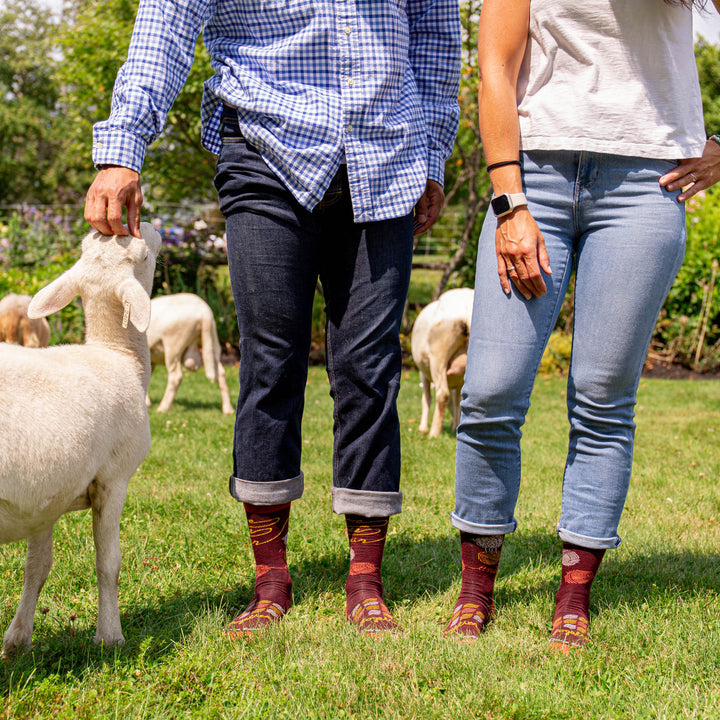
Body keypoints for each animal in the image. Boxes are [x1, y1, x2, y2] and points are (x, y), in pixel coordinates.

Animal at [0, 222, 162, 656]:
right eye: (143, 255)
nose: (149, 225)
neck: (118, 355)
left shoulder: (43, 496)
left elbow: (37, 568)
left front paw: (17, 640)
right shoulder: (114, 478)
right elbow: (109, 563)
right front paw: (110, 636)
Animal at [410, 288, 472, 438]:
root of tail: (466, 308)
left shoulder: (423, 374)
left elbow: (426, 398)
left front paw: (423, 428)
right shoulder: (459, 381)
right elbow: (457, 401)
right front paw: (455, 426)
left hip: (438, 356)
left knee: (442, 394)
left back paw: (434, 432)